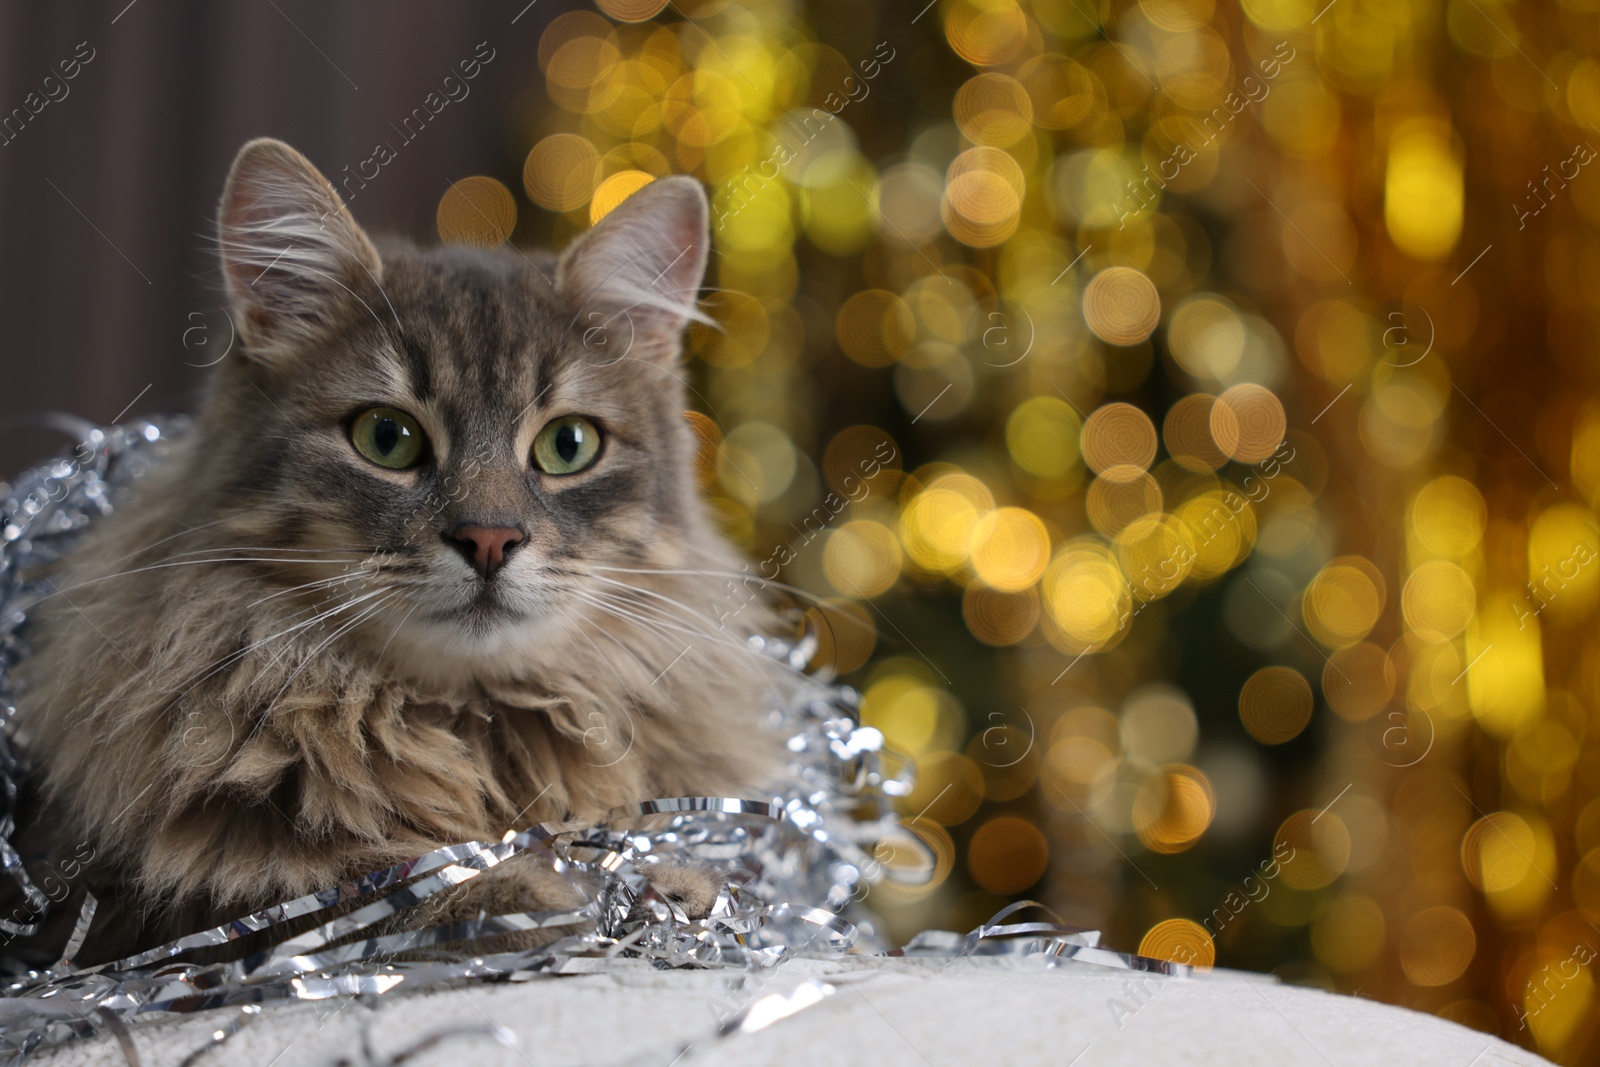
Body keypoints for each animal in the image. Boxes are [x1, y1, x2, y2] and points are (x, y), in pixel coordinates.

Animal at [4, 137, 787, 966]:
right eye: (387, 438)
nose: (489, 537)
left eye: (568, 446)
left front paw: (674, 887)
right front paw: (548, 896)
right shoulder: (119, 904)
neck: (465, 724)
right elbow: (365, 895)